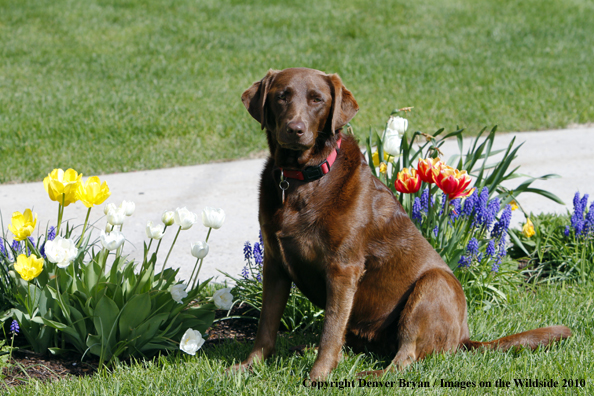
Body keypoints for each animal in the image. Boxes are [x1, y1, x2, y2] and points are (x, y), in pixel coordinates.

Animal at [232, 68, 568, 380]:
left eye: (317, 100)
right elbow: (266, 325)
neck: (302, 180)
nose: (295, 129)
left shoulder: (343, 267)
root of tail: (464, 338)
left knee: (405, 358)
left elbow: (330, 329)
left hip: (433, 285)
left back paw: (366, 375)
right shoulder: (274, 263)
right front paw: (248, 367)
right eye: (282, 96)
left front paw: (318, 376)